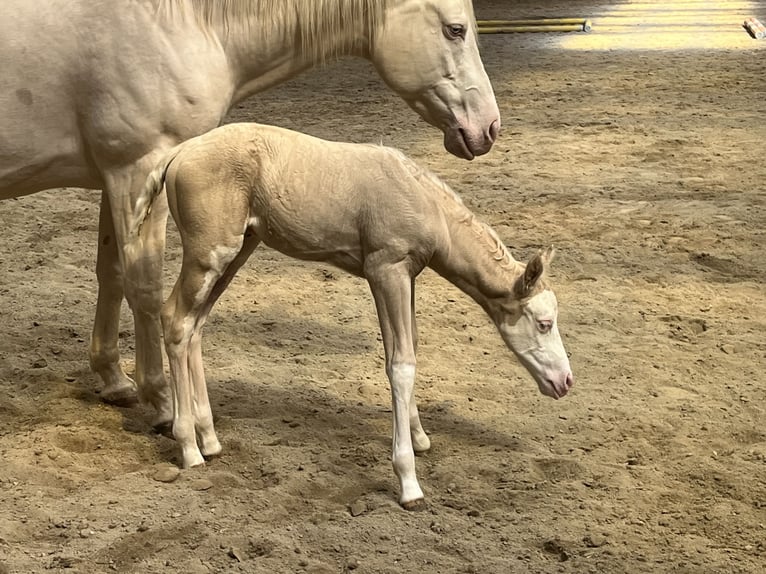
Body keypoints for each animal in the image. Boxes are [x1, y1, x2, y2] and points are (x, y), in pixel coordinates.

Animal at [0, 0, 500, 426]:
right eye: (455, 29)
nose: (489, 127)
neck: (177, 22)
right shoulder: (136, 169)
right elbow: (144, 287)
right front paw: (162, 403)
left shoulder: (120, 180)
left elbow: (113, 274)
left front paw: (113, 380)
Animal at [129, 122, 573, 509]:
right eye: (544, 323)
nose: (565, 382)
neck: (421, 198)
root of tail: (179, 153)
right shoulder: (386, 270)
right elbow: (401, 364)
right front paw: (408, 482)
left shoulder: (405, 276)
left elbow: (407, 351)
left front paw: (419, 437)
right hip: (209, 253)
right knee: (176, 320)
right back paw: (189, 447)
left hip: (238, 251)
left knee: (195, 325)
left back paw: (210, 439)